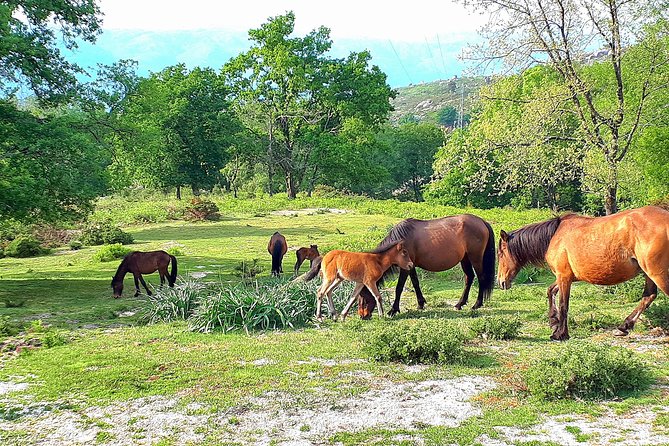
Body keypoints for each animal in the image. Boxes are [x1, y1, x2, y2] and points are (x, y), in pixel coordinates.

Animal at [354, 215, 496, 318]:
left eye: (363, 298)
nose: (362, 316)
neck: (401, 242)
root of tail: (482, 221)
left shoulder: (405, 268)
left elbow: (399, 288)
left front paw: (393, 310)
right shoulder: (410, 266)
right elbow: (415, 283)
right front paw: (421, 304)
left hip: (475, 258)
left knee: (481, 278)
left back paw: (477, 304)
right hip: (465, 259)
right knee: (469, 278)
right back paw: (460, 304)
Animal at [494, 206, 668, 342]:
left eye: (501, 253)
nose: (501, 282)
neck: (554, 236)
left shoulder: (564, 276)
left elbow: (564, 305)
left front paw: (560, 334)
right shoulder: (566, 276)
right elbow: (550, 291)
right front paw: (553, 321)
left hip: (657, 273)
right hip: (649, 273)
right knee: (648, 296)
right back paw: (623, 327)